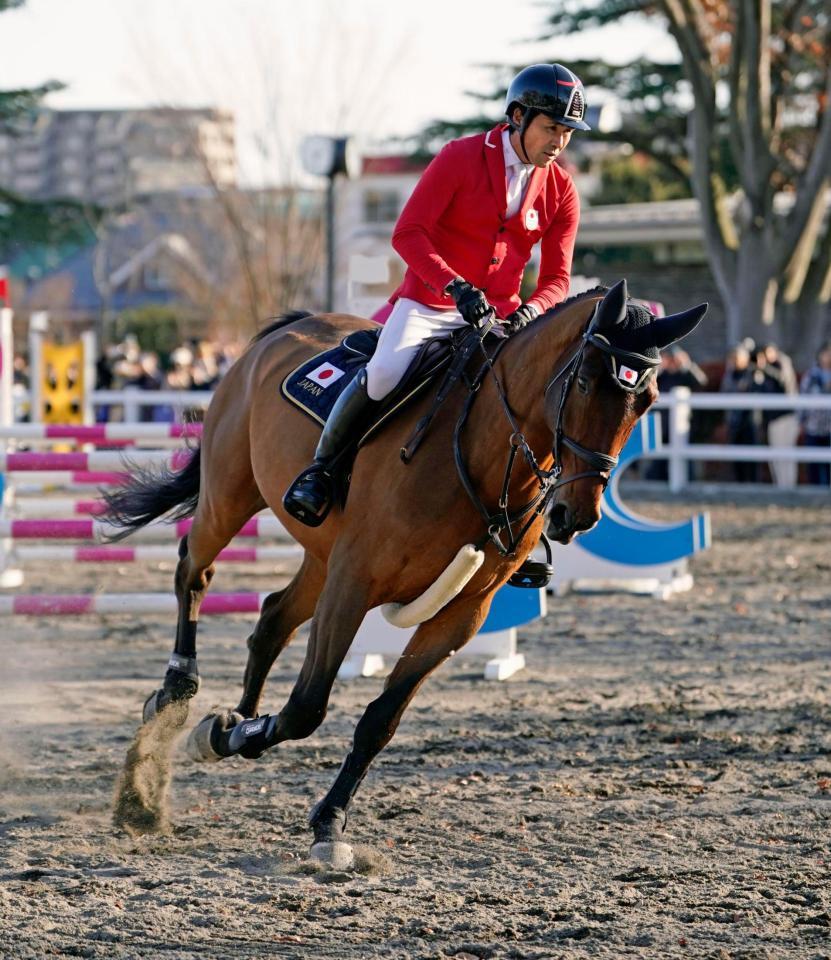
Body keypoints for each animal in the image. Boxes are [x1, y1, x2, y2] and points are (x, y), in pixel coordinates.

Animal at [102, 282, 704, 868]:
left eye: (647, 401)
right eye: (582, 382)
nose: (575, 516)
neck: (480, 455)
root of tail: (285, 330)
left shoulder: (462, 612)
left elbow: (379, 721)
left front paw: (325, 818)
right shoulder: (354, 582)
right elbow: (306, 708)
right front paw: (235, 737)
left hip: (320, 557)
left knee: (272, 617)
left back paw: (234, 718)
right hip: (230, 498)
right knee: (194, 569)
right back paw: (177, 690)